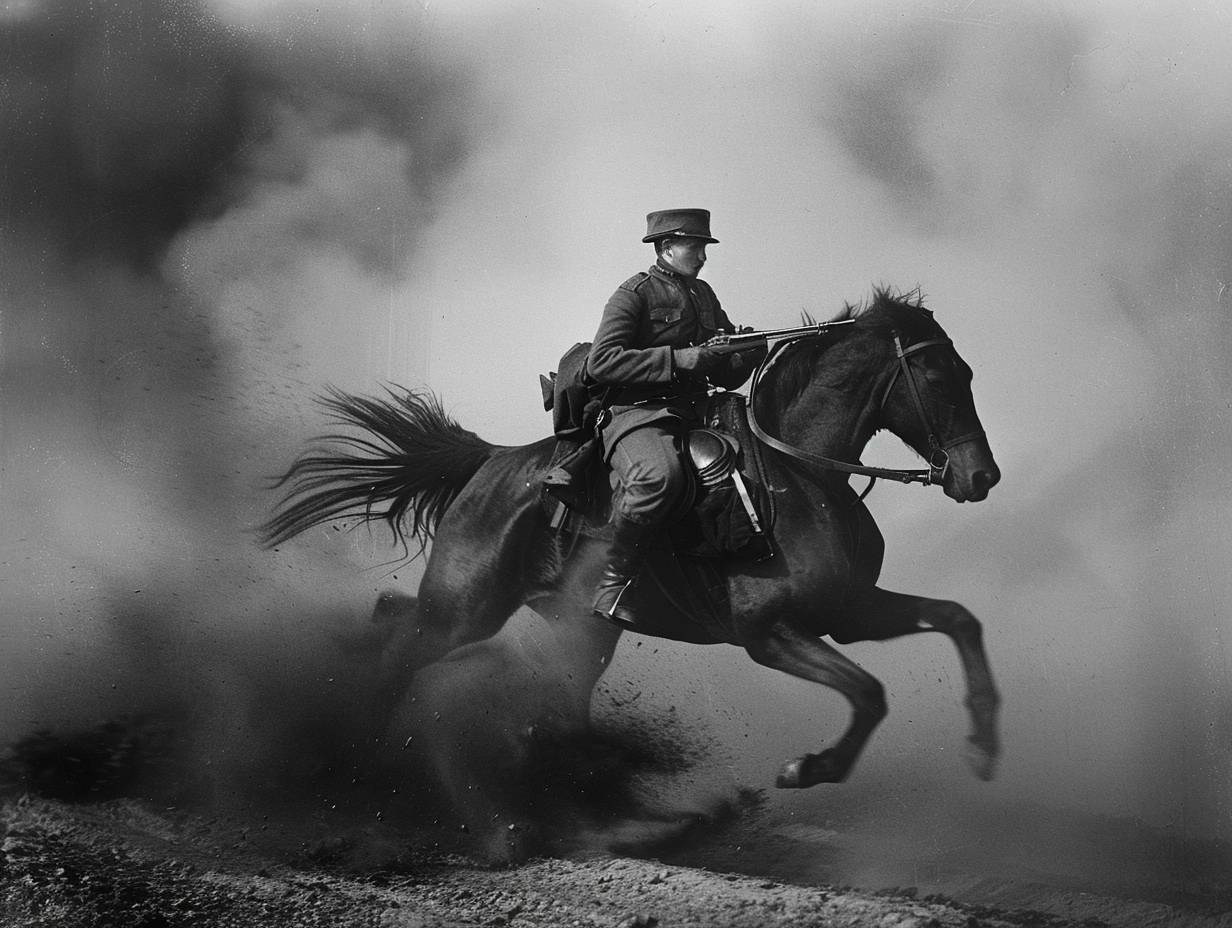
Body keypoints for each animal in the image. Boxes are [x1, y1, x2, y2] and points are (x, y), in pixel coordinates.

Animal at [262, 285, 1000, 798]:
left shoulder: (847, 613)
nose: (981, 476)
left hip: (572, 630)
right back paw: (352, 760)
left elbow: (956, 620)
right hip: (465, 608)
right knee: (402, 645)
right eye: (941, 377)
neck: (802, 475)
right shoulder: (771, 633)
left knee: (419, 634)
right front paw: (809, 767)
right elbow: (869, 692)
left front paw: (985, 743)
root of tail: (491, 462)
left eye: (969, 372)